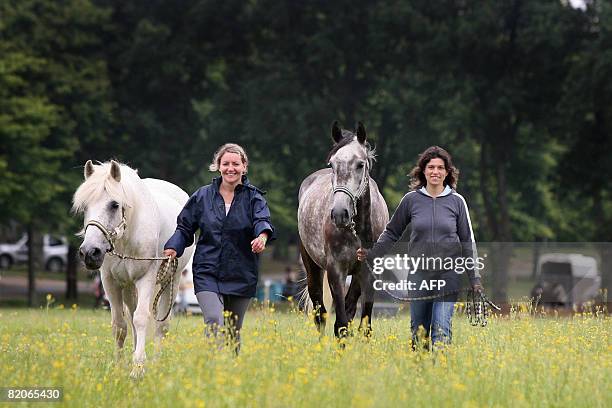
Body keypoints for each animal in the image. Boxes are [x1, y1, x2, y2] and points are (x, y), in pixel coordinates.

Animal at [73, 160, 195, 380]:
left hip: (170, 282)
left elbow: (141, 319)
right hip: (129, 286)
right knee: (131, 317)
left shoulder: (146, 279)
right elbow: (120, 326)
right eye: (85, 206)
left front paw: (138, 368)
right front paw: (119, 366)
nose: (89, 253)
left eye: (114, 204)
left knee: (161, 326)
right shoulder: (110, 282)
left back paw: (155, 362)